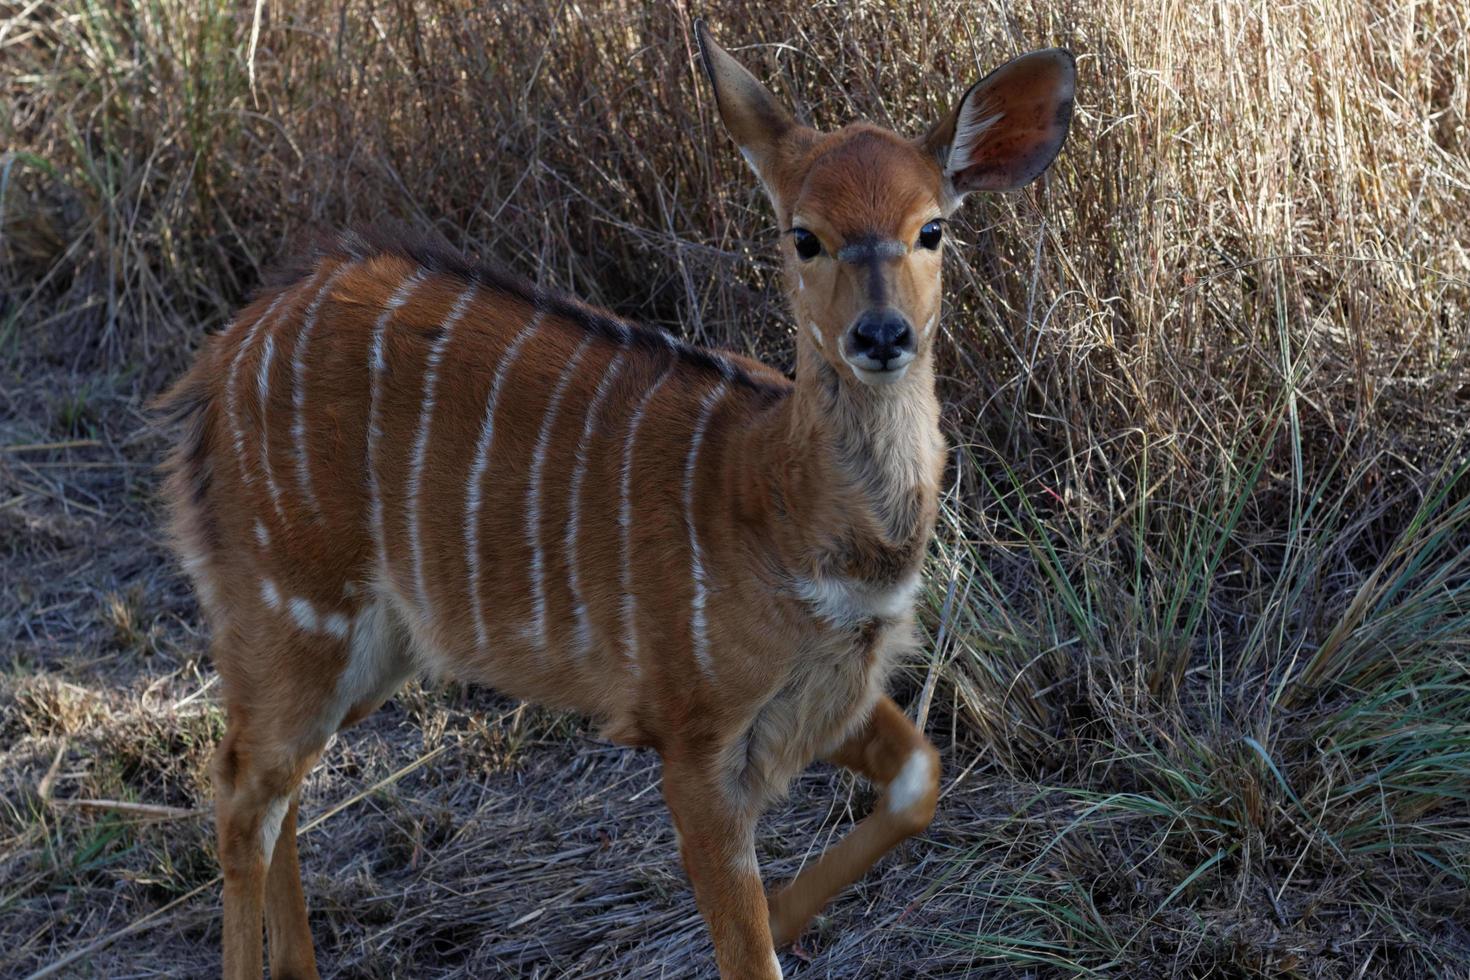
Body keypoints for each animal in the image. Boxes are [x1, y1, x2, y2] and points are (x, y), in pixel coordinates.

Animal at [160, 22, 1076, 980]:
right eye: (805, 236)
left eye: (931, 227)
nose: (882, 335)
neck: (780, 500)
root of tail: (221, 363)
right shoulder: (695, 736)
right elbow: (746, 951)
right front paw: (772, 924)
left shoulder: (828, 695)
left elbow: (919, 778)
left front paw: (790, 911)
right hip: (295, 611)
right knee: (241, 791)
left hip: (372, 650)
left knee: (282, 782)